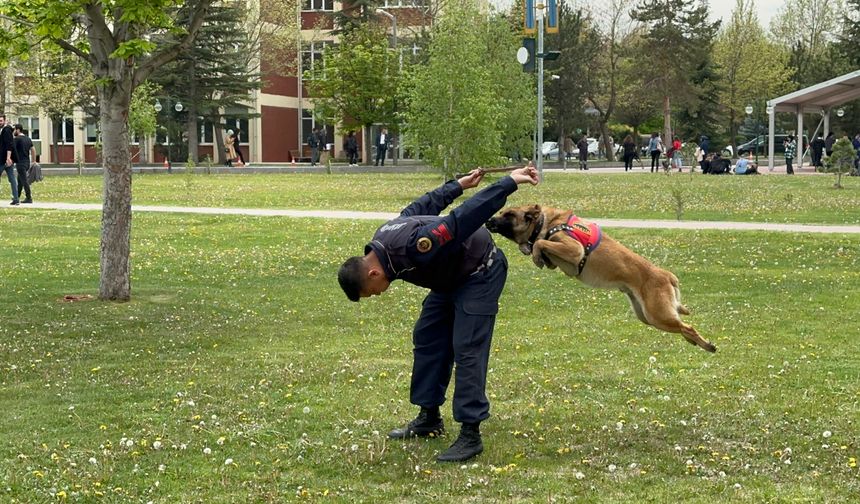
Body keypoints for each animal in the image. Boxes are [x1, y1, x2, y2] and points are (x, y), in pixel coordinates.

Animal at [488, 203, 716, 352]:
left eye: (509, 214)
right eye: (502, 212)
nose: (489, 220)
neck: (545, 222)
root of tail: (667, 276)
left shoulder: (574, 250)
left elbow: (540, 243)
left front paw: (534, 253)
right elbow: (540, 246)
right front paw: (531, 251)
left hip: (657, 315)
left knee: (688, 326)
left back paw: (707, 344)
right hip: (647, 316)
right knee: (682, 326)